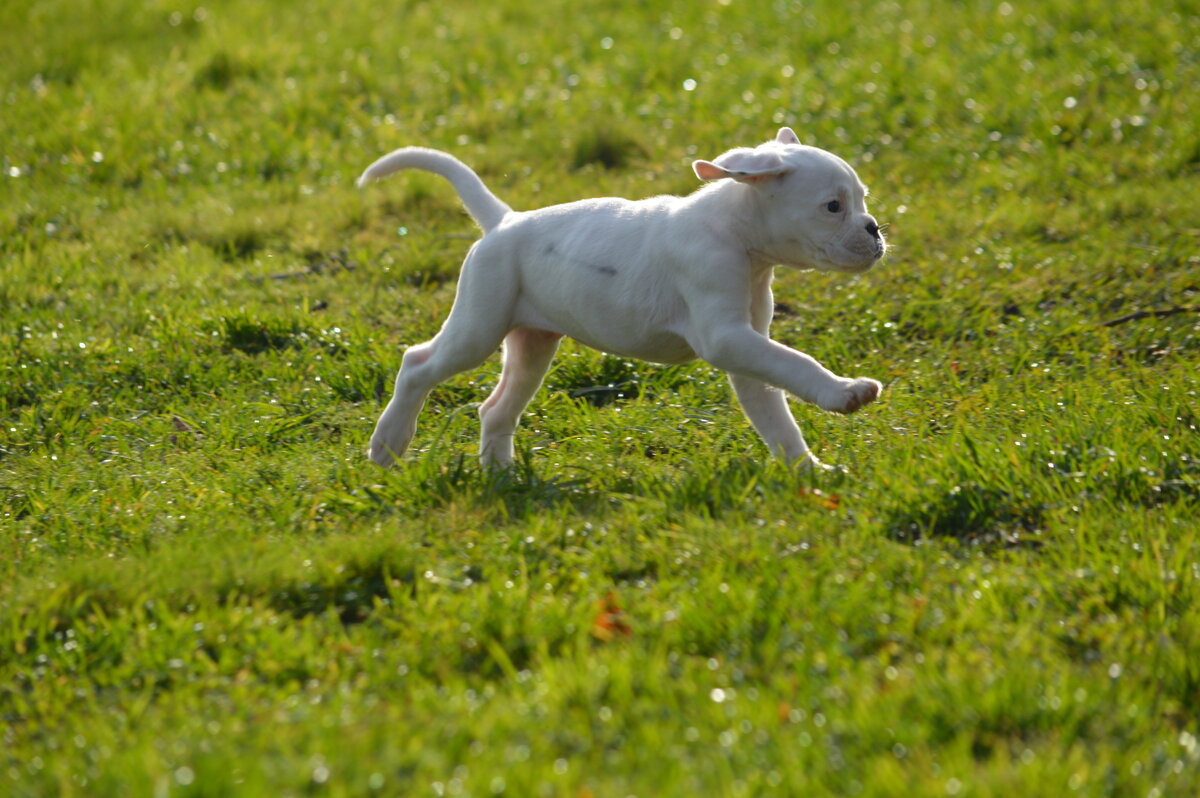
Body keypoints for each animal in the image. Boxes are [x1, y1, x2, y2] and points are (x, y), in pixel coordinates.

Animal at [352, 128, 883, 470]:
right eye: (832, 207)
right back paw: (388, 445)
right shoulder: (726, 339)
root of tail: (504, 221)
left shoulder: (748, 347)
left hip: (532, 345)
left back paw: (502, 478)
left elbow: (777, 414)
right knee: (417, 364)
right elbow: (797, 362)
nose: (875, 229)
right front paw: (844, 393)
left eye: (862, 199)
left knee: (496, 410)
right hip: (477, 328)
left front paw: (809, 474)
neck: (735, 232)